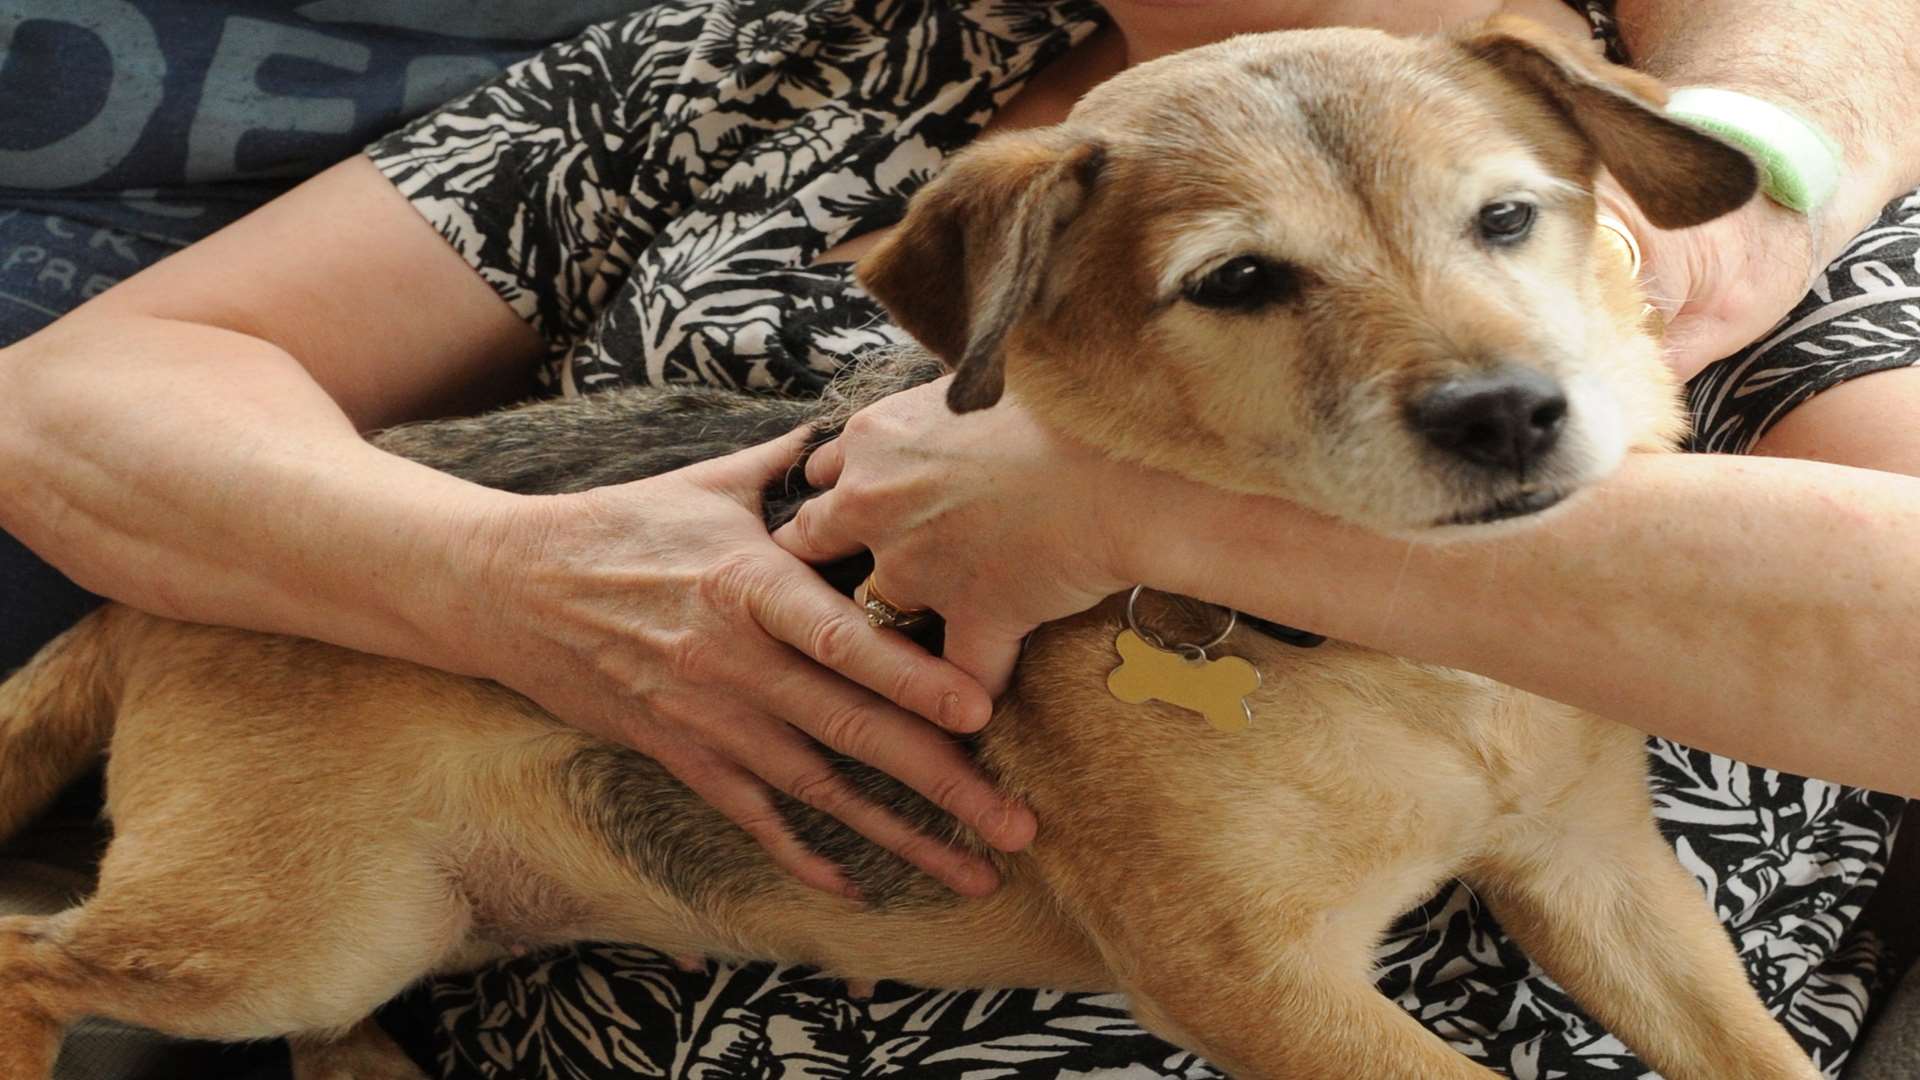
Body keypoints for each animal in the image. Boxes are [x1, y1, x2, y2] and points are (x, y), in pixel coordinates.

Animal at [0, 18, 1812, 1076]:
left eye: (1508, 218)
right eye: (1238, 284)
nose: (1512, 417)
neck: (1405, 658)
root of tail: (143, 604)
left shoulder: (1603, 877)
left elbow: (1759, 1055)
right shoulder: (1263, 985)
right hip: (291, 930)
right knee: (33, 964)